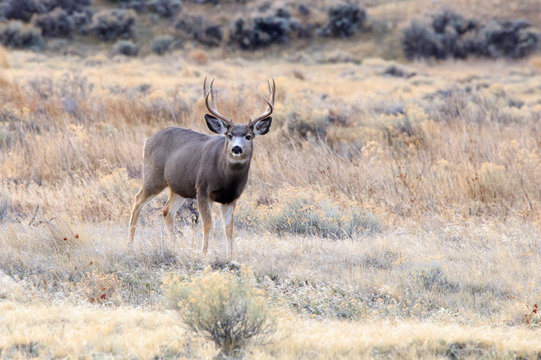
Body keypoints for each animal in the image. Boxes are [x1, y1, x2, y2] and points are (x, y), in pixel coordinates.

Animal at [126, 77, 274, 258]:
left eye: (248, 136)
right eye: (229, 135)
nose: (236, 149)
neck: (226, 178)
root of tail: (147, 140)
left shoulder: (231, 198)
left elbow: (229, 229)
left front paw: (230, 257)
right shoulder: (203, 190)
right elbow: (208, 224)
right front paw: (204, 254)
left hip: (178, 187)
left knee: (167, 211)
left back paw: (174, 246)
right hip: (153, 176)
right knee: (138, 200)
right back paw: (129, 244)